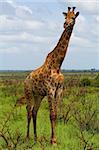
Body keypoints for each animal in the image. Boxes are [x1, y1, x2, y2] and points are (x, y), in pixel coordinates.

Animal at [22, 6, 79, 144]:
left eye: (73, 17)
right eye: (65, 17)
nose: (65, 24)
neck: (57, 65)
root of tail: (26, 79)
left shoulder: (59, 90)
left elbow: (56, 114)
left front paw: (54, 139)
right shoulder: (50, 90)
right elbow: (51, 114)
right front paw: (53, 140)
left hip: (38, 95)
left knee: (34, 111)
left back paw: (36, 137)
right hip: (28, 93)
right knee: (28, 111)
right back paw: (27, 138)